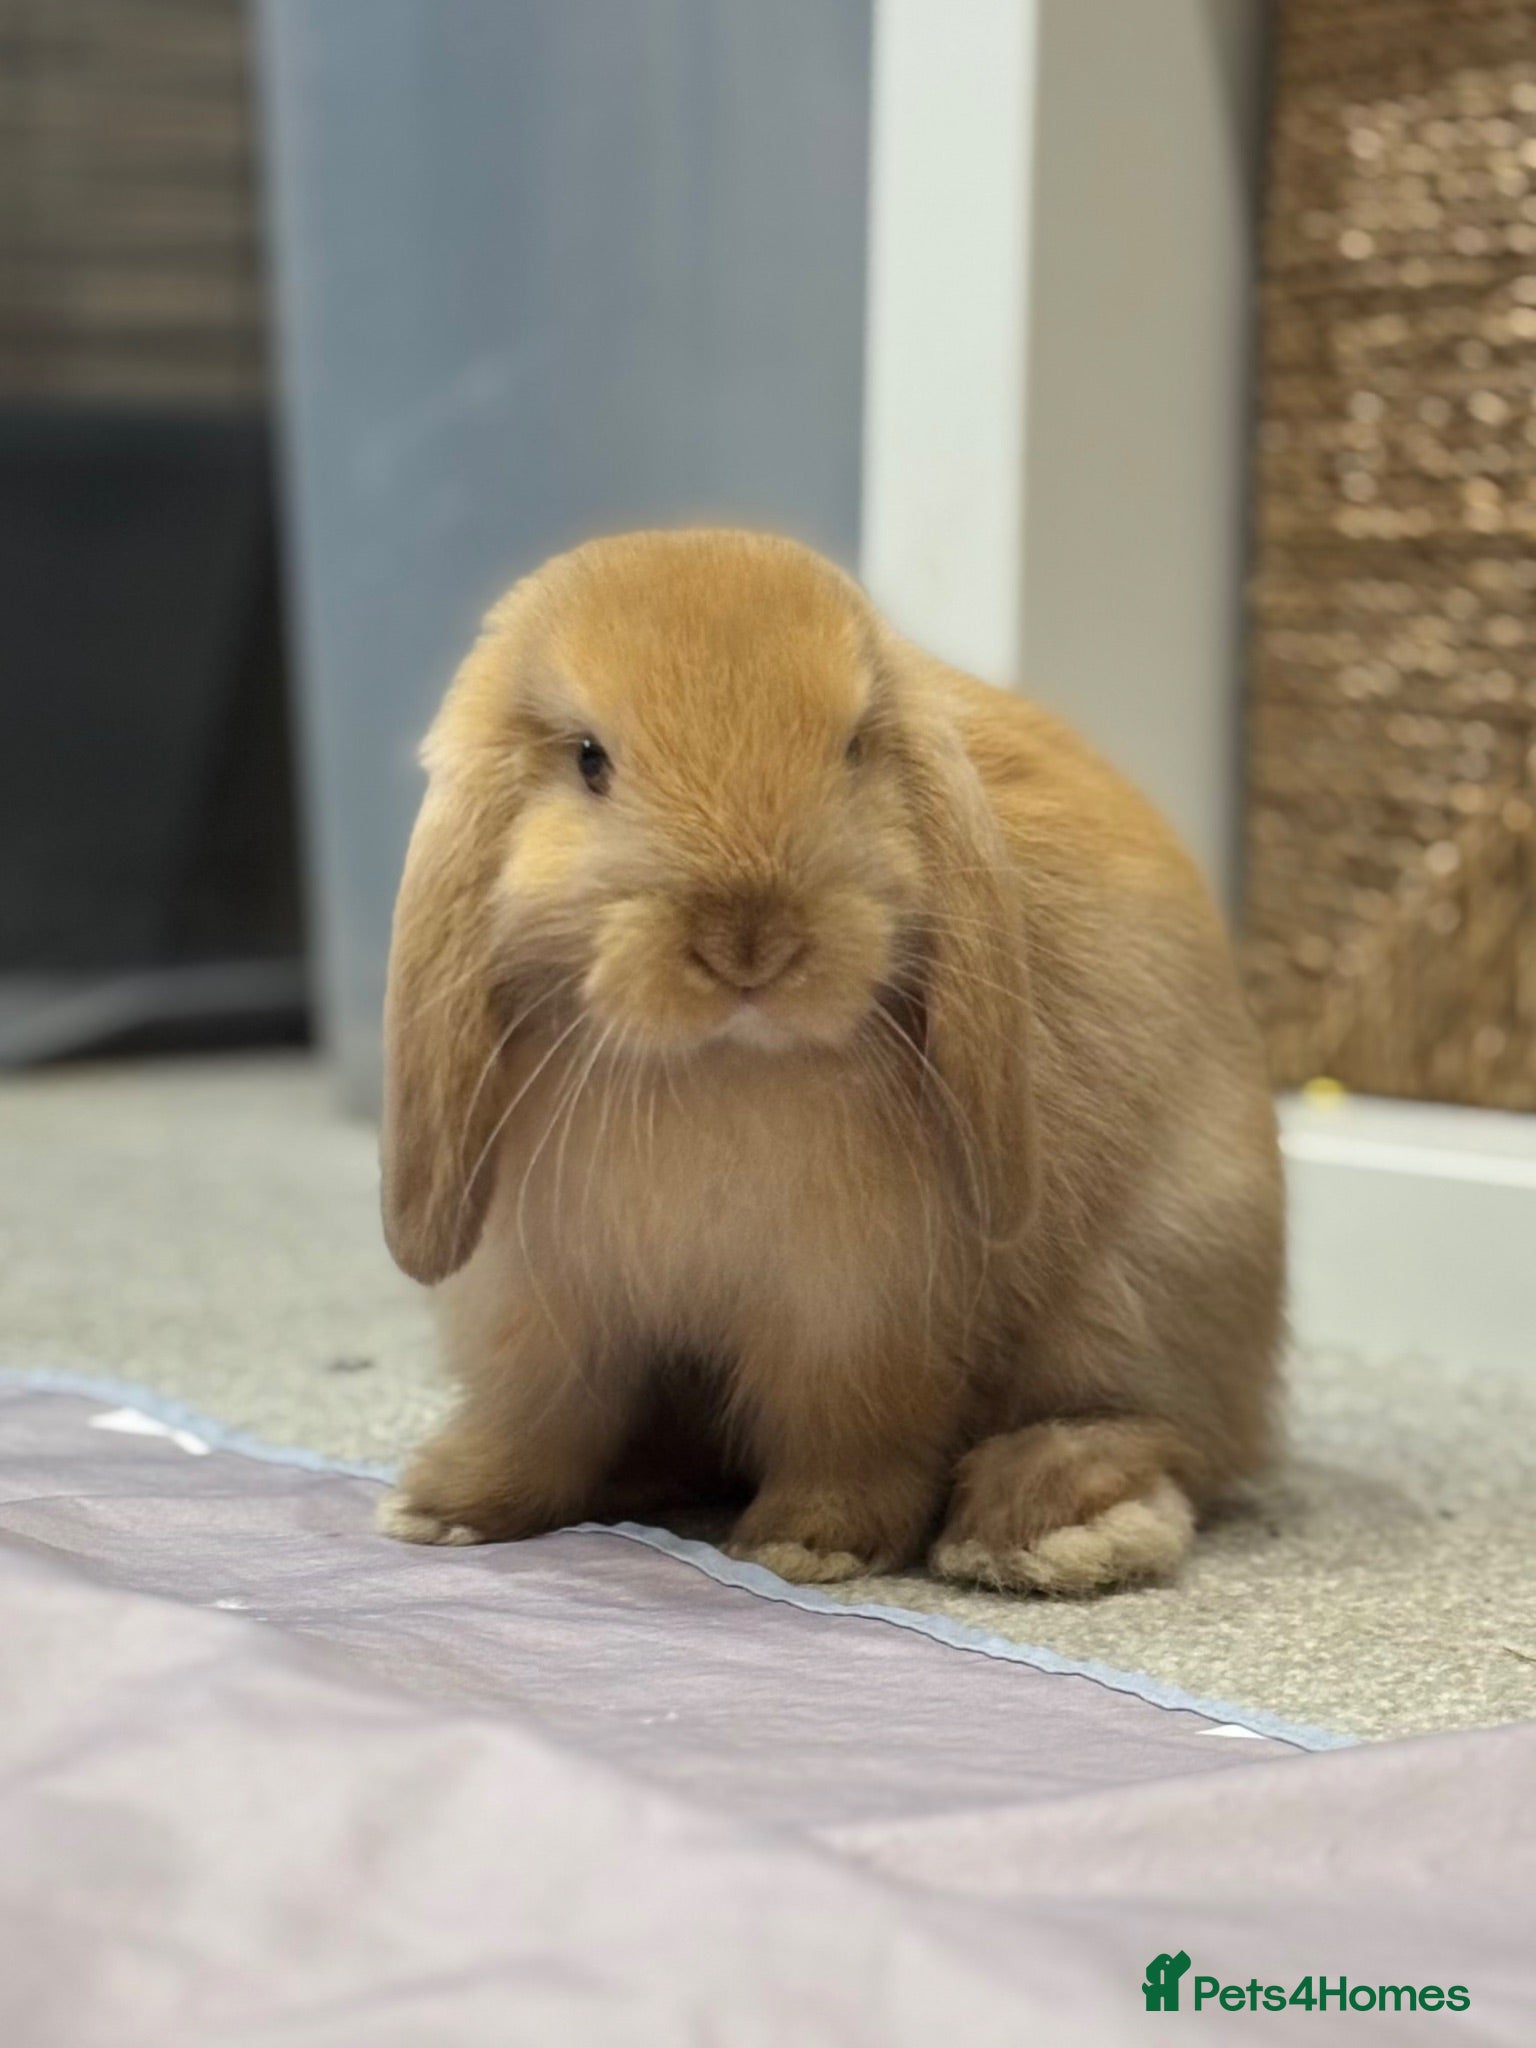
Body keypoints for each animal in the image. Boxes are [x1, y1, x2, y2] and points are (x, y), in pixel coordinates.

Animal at [375, 527, 1284, 1594]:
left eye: (852, 749)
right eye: (590, 761)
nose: (750, 942)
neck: (721, 1065)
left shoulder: (857, 1313)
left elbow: (850, 1432)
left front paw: (808, 1545)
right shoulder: (543, 1303)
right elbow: (538, 1417)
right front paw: (445, 1510)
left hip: (1142, 1292)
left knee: (1153, 1434)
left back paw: (1042, 1530)